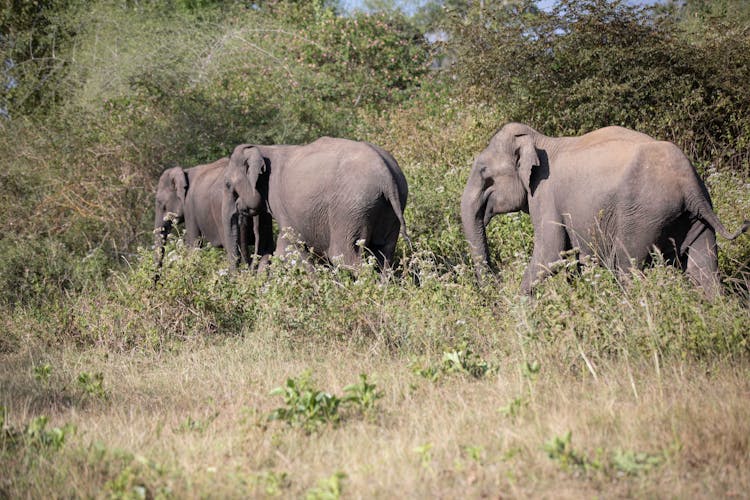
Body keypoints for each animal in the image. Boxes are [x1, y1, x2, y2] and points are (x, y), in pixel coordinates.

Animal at [223, 137, 412, 270]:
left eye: (227, 184)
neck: (263, 148)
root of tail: (386, 174)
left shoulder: (278, 200)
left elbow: (290, 246)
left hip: (351, 208)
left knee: (343, 255)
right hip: (389, 204)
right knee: (384, 253)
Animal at [462, 121, 748, 296]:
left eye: (484, 172)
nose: (497, 282)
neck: (541, 139)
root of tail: (689, 184)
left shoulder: (545, 194)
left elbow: (551, 253)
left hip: (641, 216)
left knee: (627, 268)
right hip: (696, 218)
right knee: (704, 272)